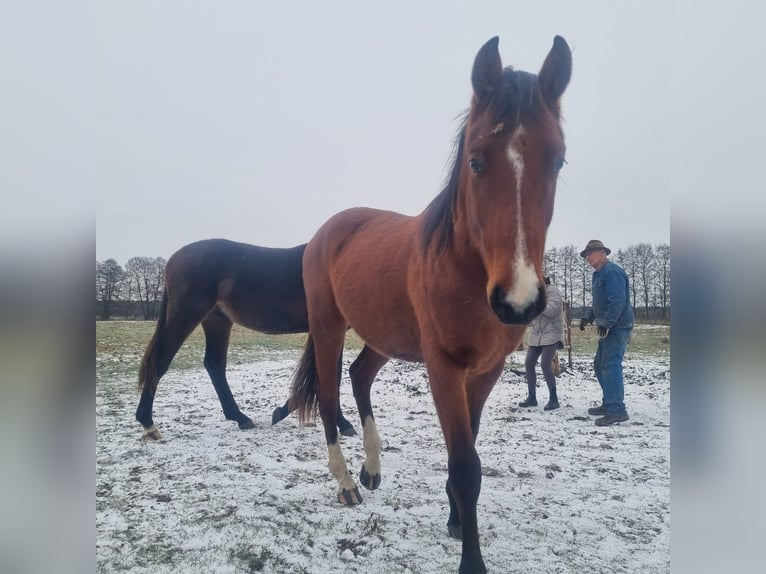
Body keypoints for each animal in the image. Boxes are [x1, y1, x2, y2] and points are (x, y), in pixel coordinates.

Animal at [136, 238, 358, 440]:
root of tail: (174, 259)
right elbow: (331, 376)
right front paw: (343, 423)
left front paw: (282, 411)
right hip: (186, 316)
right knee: (160, 362)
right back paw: (148, 423)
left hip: (217, 320)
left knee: (214, 364)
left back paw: (240, 418)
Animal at [292, 37, 572, 574]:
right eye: (476, 161)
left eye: (559, 161)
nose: (519, 301)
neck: (466, 269)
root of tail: (328, 229)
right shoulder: (443, 367)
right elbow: (465, 465)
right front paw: (470, 558)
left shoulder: (485, 371)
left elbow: (471, 450)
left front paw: (456, 519)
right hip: (328, 325)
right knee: (332, 394)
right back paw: (347, 484)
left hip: (384, 336)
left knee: (359, 376)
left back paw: (372, 468)